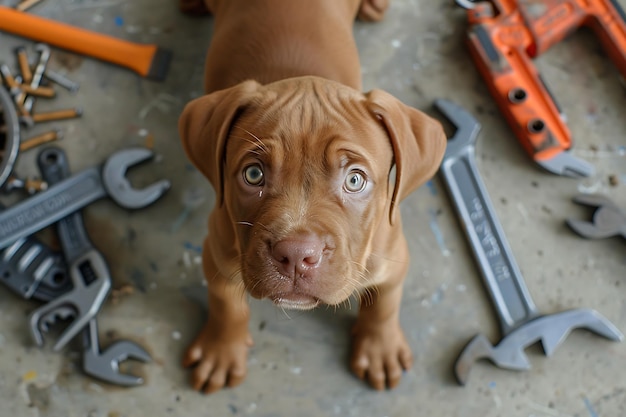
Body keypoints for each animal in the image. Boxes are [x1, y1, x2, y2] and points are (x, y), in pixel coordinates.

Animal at [178, 0, 446, 392]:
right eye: (253, 174)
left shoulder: (392, 255)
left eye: (354, 180)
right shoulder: (217, 252)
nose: (296, 255)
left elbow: (385, 302)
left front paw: (379, 348)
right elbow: (227, 303)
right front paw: (221, 351)